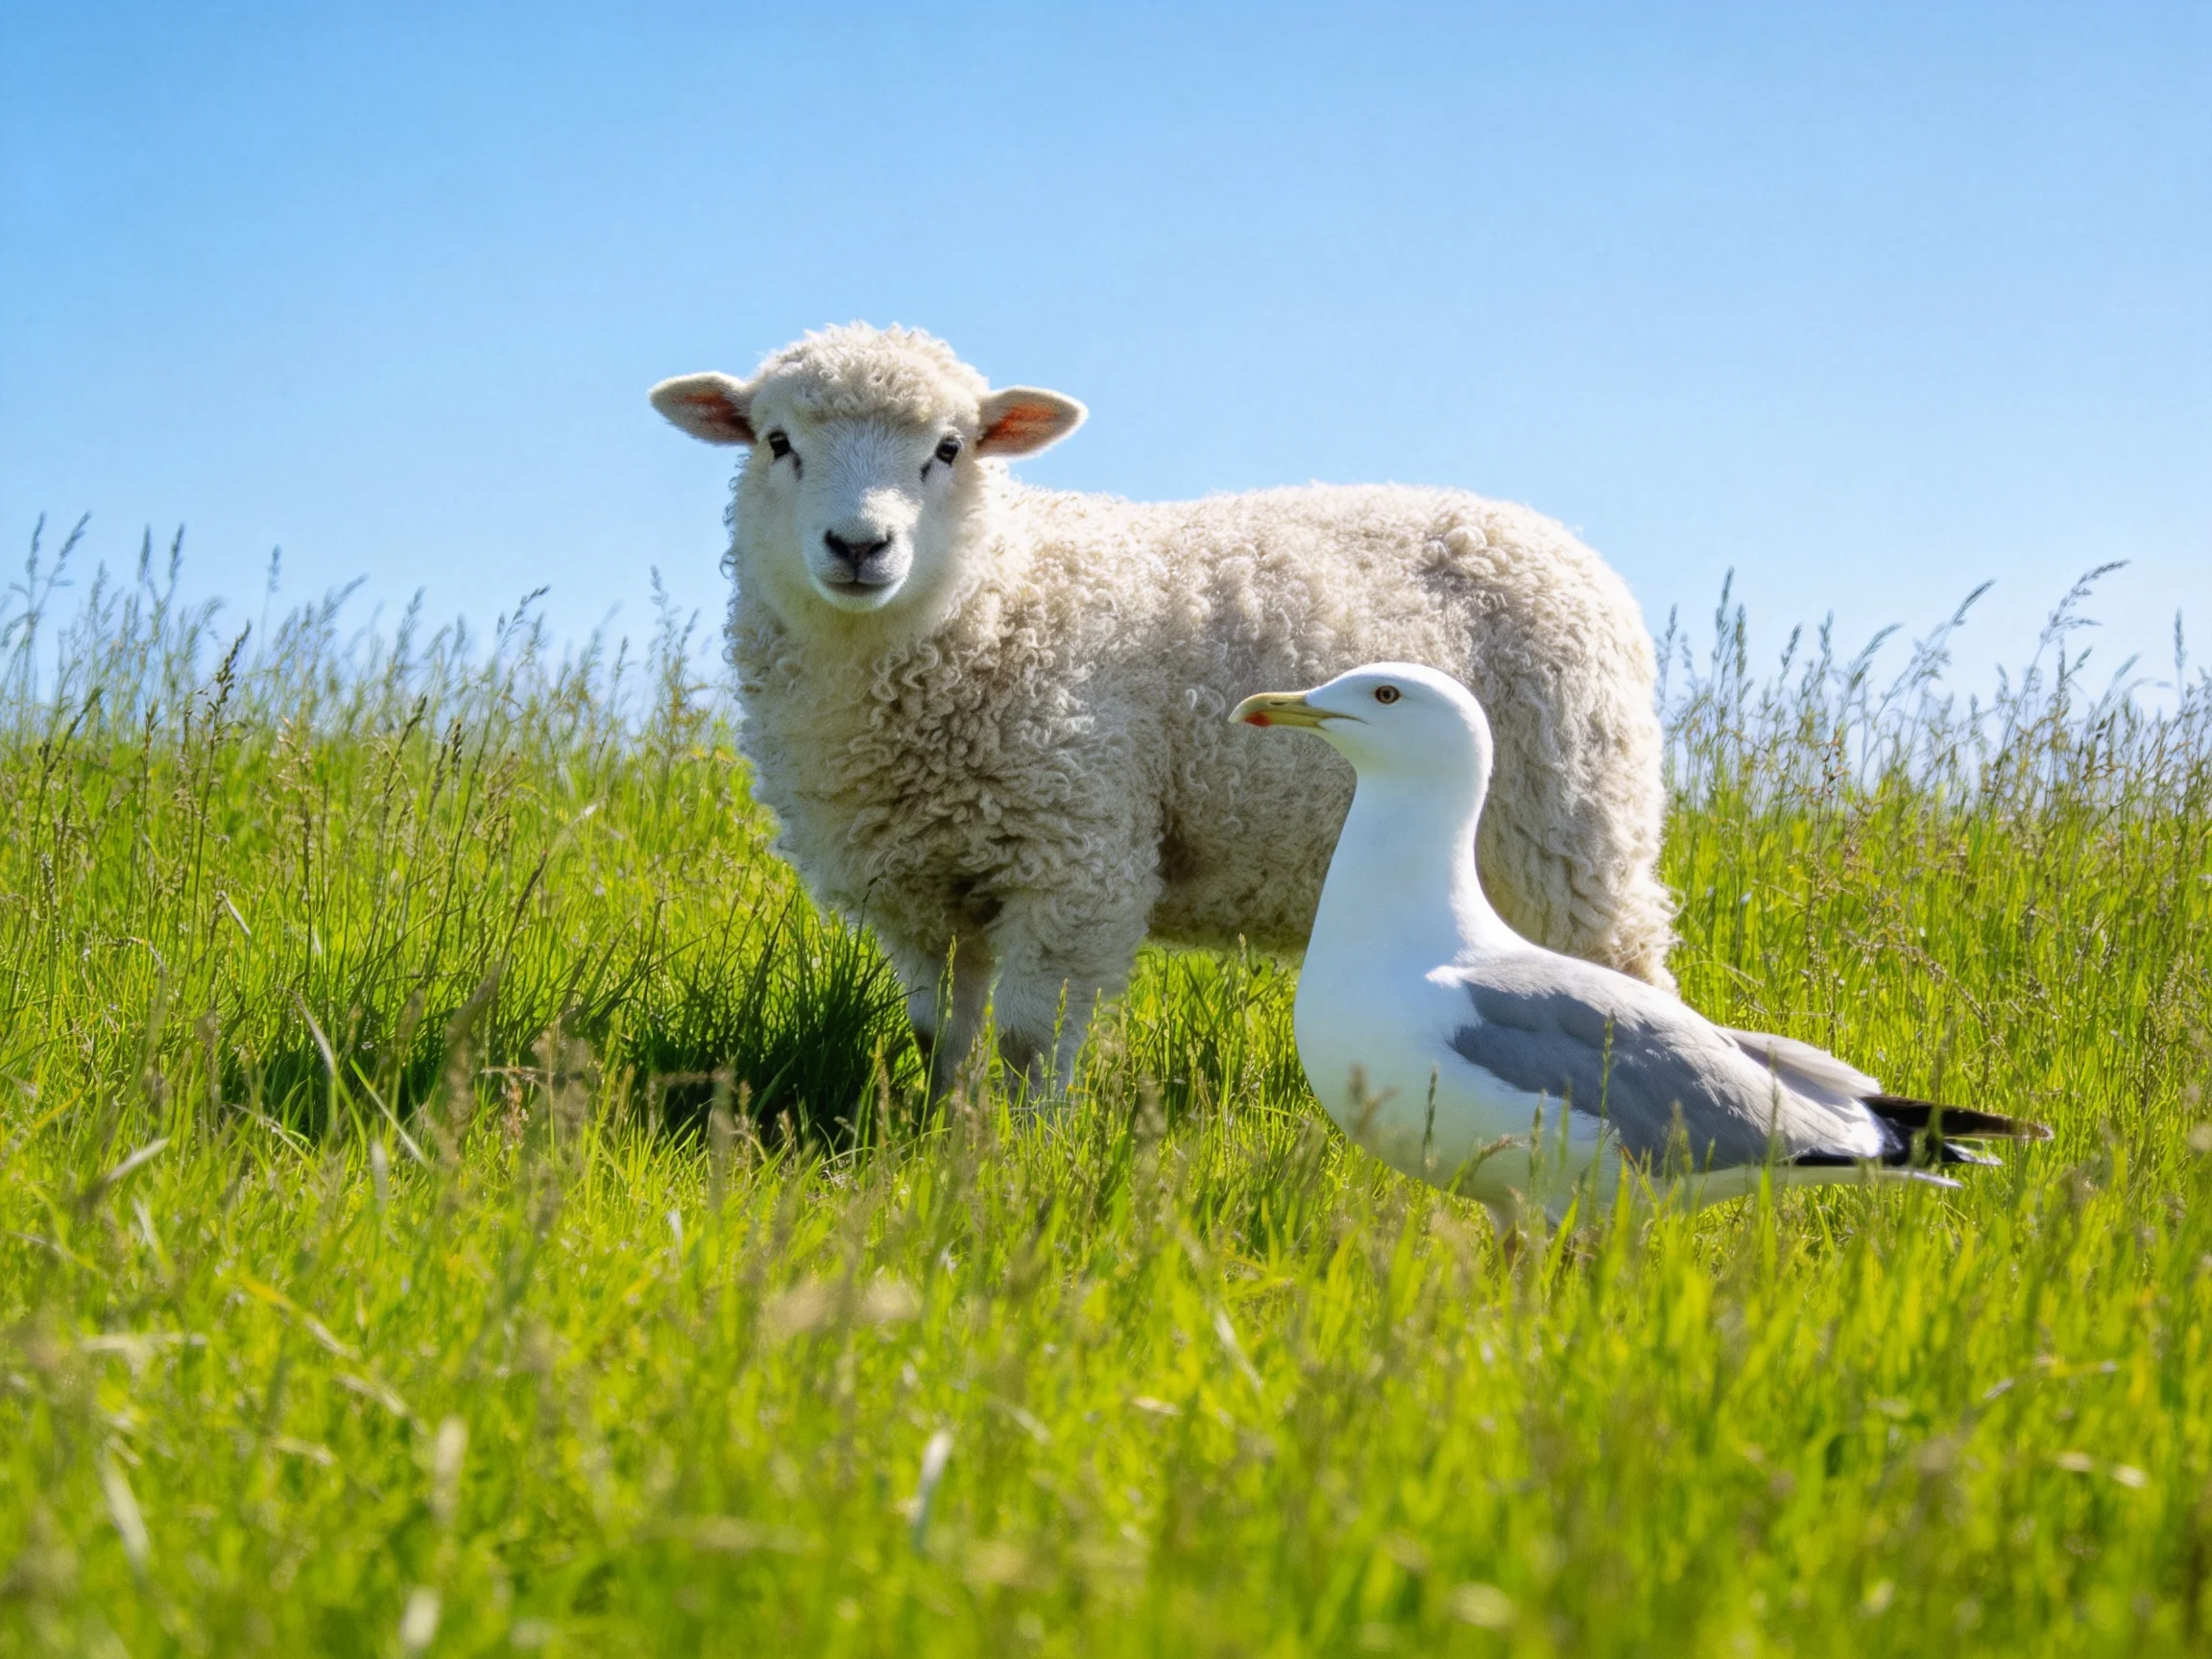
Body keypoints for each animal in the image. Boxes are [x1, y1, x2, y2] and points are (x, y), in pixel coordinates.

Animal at [650, 324, 1674, 1094]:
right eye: (777, 443)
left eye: (948, 449)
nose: (860, 546)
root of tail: (1551, 535)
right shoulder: (915, 884)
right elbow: (942, 1037)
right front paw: (939, 1144)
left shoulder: (1077, 853)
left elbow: (1028, 1040)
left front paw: (1021, 1166)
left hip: (1572, 823)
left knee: (1621, 967)